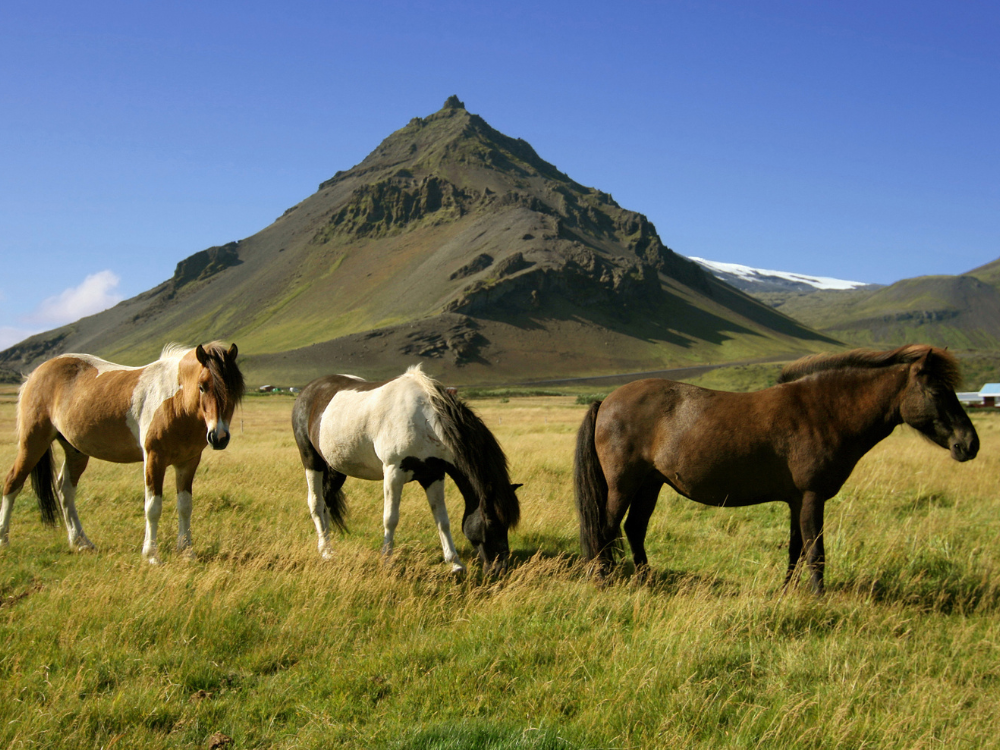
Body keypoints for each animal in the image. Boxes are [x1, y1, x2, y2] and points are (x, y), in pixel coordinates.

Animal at [0, 343, 244, 564]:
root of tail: (34, 375)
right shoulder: (154, 459)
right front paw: (151, 555)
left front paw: (187, 552)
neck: (175, 401)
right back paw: (4, 540)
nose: (218, 437)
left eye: (233, 389)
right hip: (33, 442)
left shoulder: (188, 462)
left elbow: (185, 506)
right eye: (202, 386)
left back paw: (81, 542)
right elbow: (153, 507)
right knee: (13, 482)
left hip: (75, 451)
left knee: (65, 490)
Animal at [292, 365, 521, 574]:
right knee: (316, 503)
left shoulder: (434, 474)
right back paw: (326, 551)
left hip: (336, 468)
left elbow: (442, 519)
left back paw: (329, 544)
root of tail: (308, 390)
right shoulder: (394, 471)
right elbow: (390, 519)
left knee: (326, 503)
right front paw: (386, 561)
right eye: (490, 523)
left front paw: (455, 563)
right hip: (312, 461)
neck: (426, 421)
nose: (500, 569)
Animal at [574, 345, 979, 593]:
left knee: (634, 529)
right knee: (606, 529)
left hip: (650, 484)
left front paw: (787, 592)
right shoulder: (813, 496)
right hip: (624, 485)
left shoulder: (798, 499)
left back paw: (647, 580)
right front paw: (818, 598)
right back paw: (604, 580)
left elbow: (796, 549)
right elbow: (816, 551)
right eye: (938, 392)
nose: (969, 444)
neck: (823, 411)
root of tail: (606, 400)